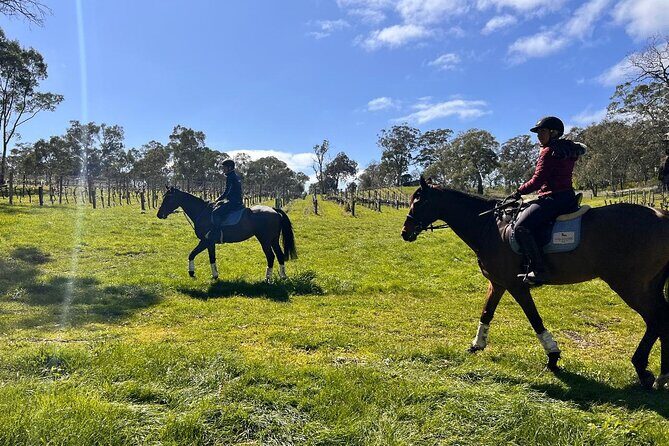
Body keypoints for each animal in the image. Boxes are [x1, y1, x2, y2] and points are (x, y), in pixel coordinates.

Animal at [157, 187, 297, 282]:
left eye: (169, 198)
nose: (159, 214)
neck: (202, 212)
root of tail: (274, 210)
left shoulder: (205, 241)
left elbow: (192, 254)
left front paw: (191, 272)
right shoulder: (210, 243)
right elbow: (211, 258)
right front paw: (214, 276)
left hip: (265, 240)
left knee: (271, 257)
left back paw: (267, 279)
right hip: (273, 240)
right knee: (280, 255)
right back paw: (283, 276)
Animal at [402, 176, 669, 390]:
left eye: (419, 202)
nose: (405, 232)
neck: (491, 227)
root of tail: (661, 217)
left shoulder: (516, 286)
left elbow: (534, 319)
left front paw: (553, 356)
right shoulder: (498, 283)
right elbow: (487, 312)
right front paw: (476, 345)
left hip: (631, 286)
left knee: (657, 321)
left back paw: (645, 371)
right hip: (648, 287)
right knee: (661, 318)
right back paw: (659, 375)